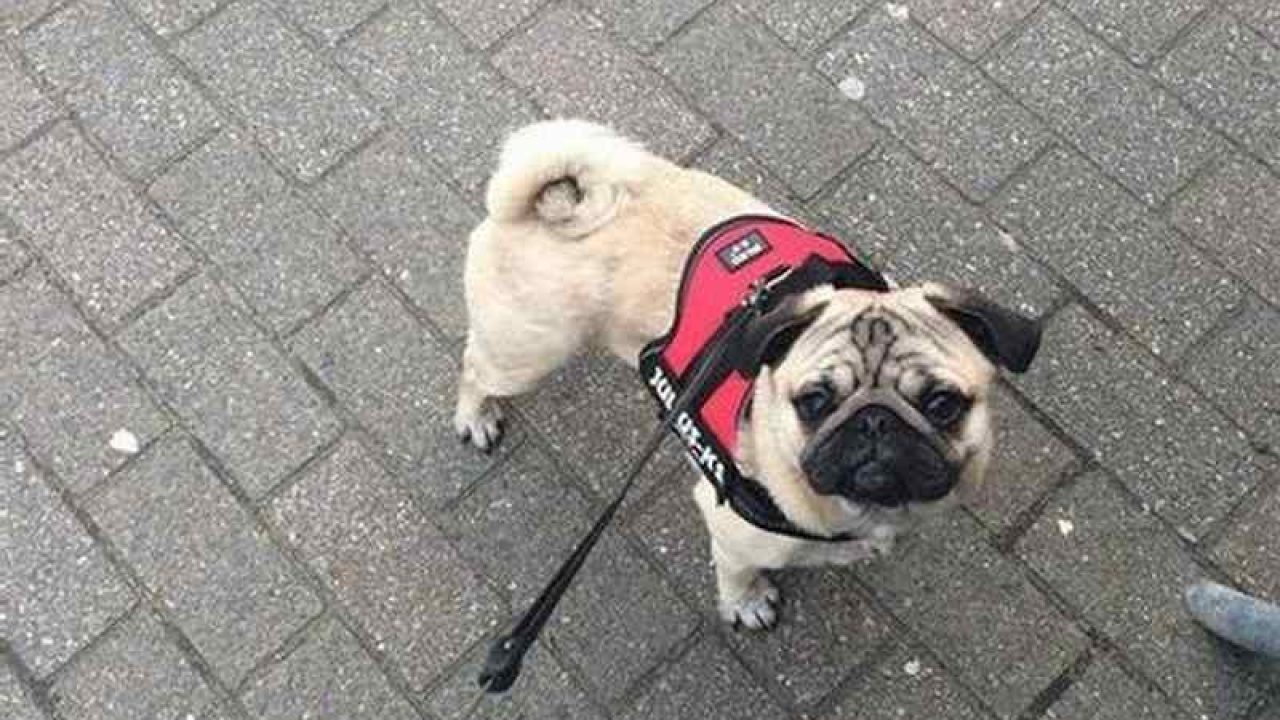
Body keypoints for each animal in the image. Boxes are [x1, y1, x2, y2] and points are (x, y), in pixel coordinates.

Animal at [454, 120, 1041, 629]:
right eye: (815, 401)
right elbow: (738, 573)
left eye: (942, 404)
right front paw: (747, 603)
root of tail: (555, 204)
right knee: (475, 368)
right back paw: (476, 417)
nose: (875, 421)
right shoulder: (732, 533)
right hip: (529, 350)